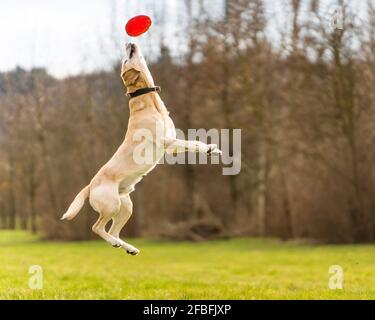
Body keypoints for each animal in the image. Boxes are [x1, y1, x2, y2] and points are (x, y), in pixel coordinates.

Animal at [60, 43, 222, 255]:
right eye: (125, 60)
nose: (129, 43)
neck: (149, 101)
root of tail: (90, 185)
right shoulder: (167, 141)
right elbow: (194, 143)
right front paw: (210, 149)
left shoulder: (172, 147)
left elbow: (192, 145)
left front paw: (213, 150)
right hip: (112, 204)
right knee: (97, 227)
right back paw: (114, 242)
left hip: (126, 206)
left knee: (113, 231)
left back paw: (127, 247)